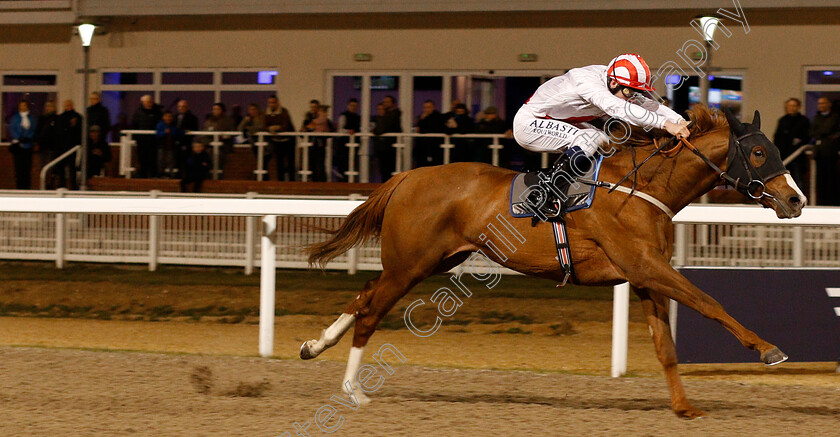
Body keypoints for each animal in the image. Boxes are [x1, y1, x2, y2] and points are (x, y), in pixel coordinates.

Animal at [298, 105, 804, 416]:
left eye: (778, 148)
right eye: (759, 152)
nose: (796, 200)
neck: (644, 187)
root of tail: (405, 176)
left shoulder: (645, 276)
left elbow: (666, 347)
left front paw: (684, 407)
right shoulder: (645, 266)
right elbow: (709, 303)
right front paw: (769, 350)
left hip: (428, 261)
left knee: (364, 295)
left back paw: (315, 346)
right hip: (410, 265)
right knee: (371, 311)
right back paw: (354, 391)